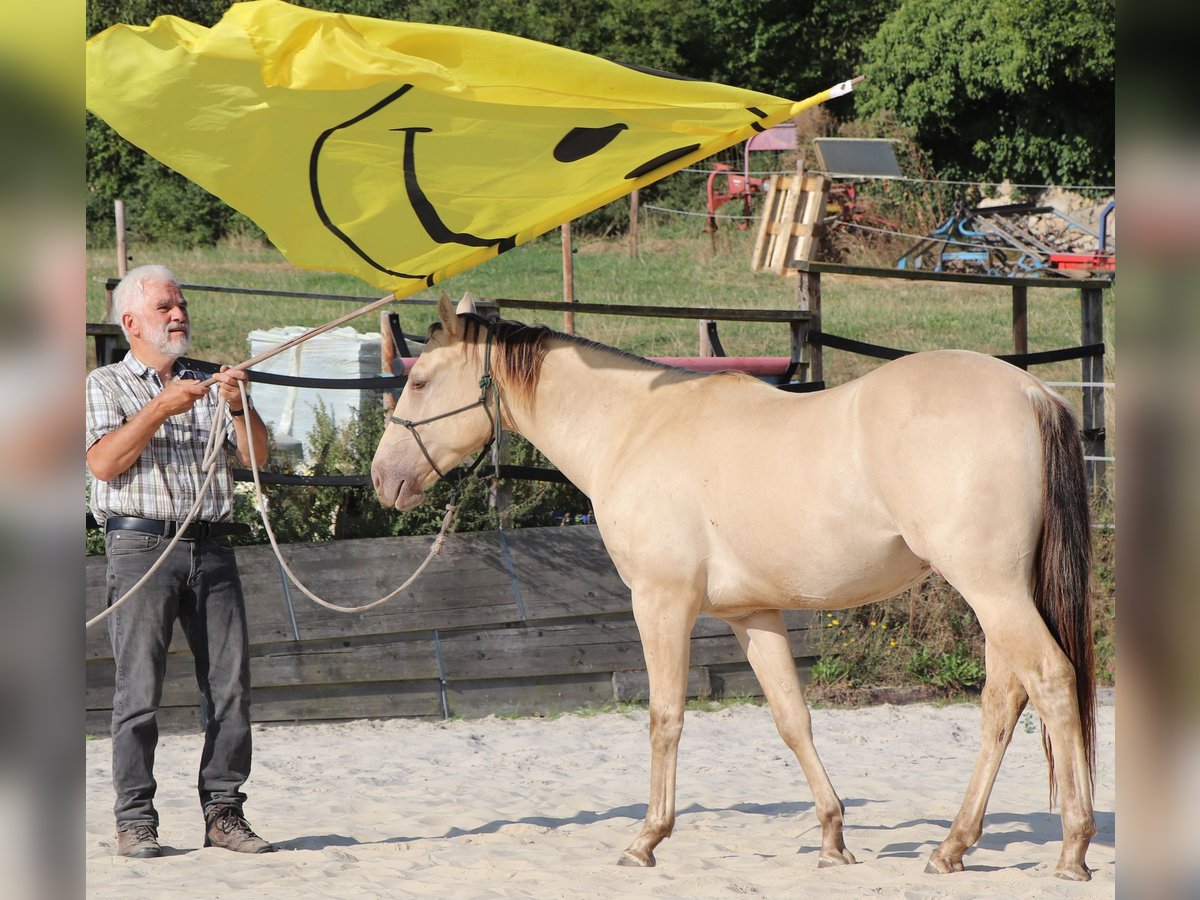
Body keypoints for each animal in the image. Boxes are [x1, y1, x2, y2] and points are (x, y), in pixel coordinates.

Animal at [372, 296, 1099, 883]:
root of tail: (1035, 394)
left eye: (423, 381)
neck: (635, 426)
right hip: (998, 596)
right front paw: (833, 840)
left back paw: (1072, 850)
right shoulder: (754, 614)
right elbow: (792, 720)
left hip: (992, 589)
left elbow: (665, 718)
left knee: (1050, 681)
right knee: (1004, 702)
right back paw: (952, 847)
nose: (382, 477)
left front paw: (646, 840)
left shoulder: (660, 602)